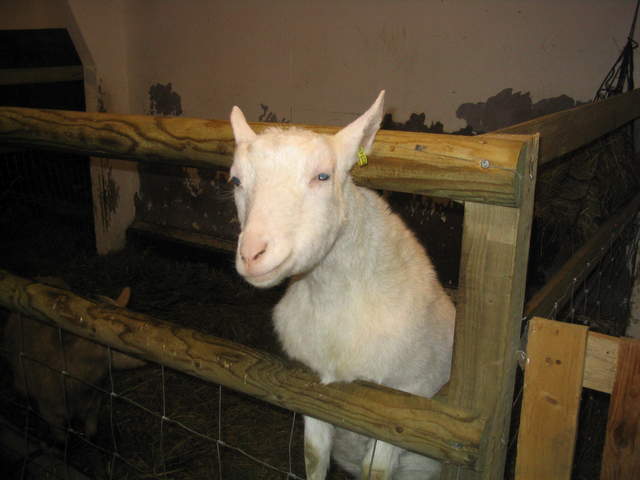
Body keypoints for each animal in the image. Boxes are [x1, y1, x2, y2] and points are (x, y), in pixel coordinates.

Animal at [229, 91, 455, 479]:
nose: (252, 254)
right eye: (236, 181)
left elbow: (375, 472)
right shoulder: (316, 395)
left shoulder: (402, 402)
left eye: (322, 176)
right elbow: (313, 457)